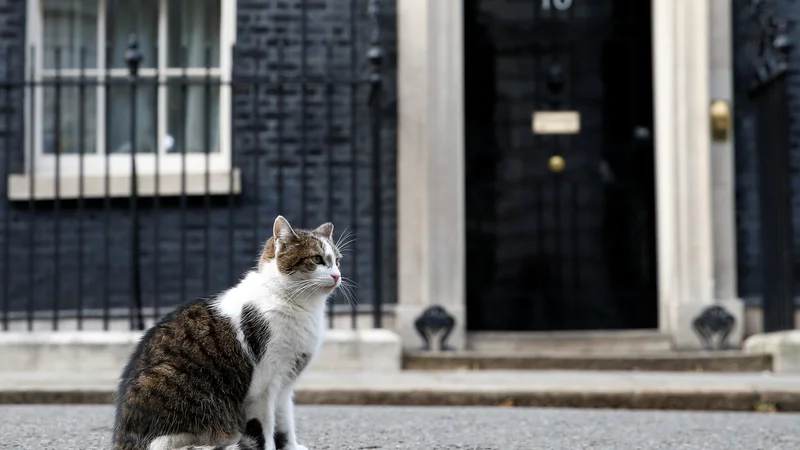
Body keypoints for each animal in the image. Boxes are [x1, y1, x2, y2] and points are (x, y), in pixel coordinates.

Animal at [112, 216, 344, 448]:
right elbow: (267, 429)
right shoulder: (264, 388)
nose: (337, 275)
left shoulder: (286, 383)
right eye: (317, 259)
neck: (300, 305)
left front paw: (291, 447)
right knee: (166, 442)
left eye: (337, 261)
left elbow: (285, 422)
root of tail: (123, 438)